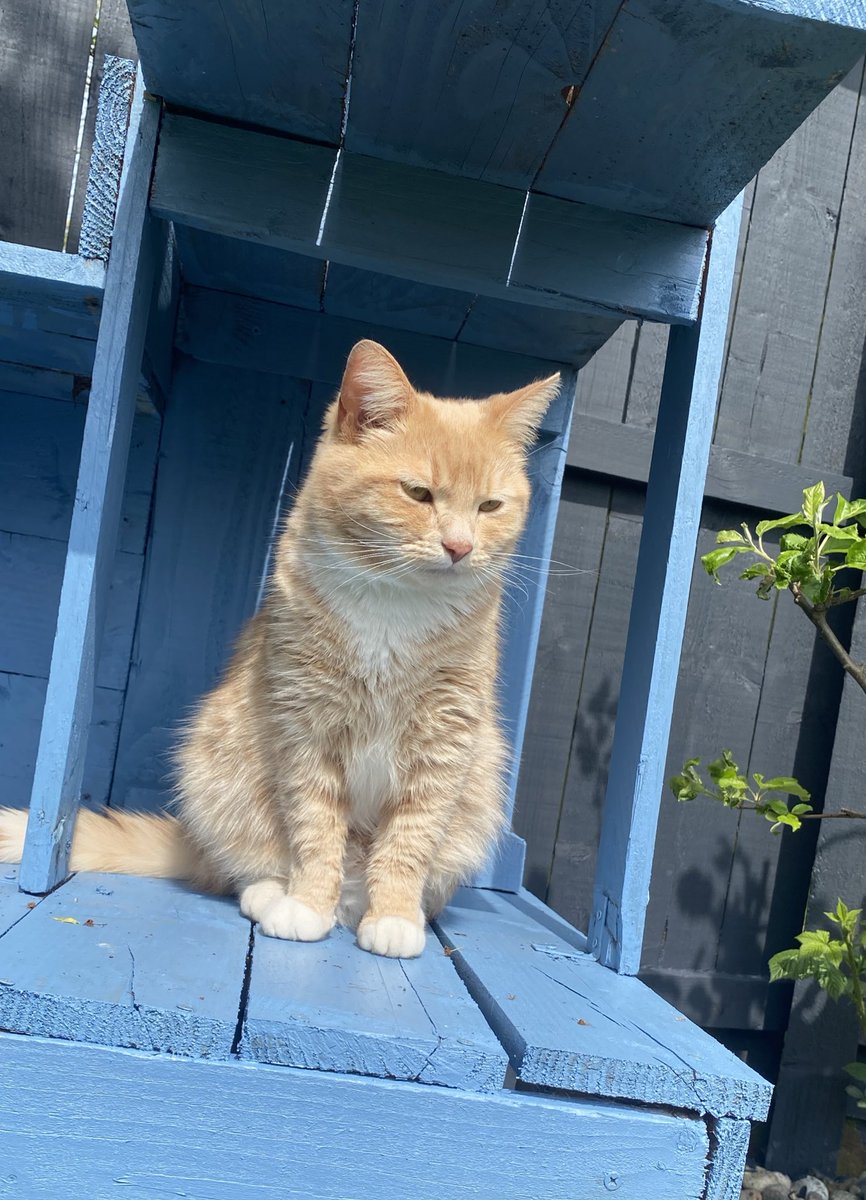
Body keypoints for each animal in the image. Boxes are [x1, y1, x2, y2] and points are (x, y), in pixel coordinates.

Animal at [0, 343, 556, 960]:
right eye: (417, 493)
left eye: (491, 506)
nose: (460, 547)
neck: (396, 603)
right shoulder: (305, 727)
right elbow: (314, 831)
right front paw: (307, 906)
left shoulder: (444, 746)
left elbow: (409, 841)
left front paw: (394, 916)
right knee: (244, 869)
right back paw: (277, 896)